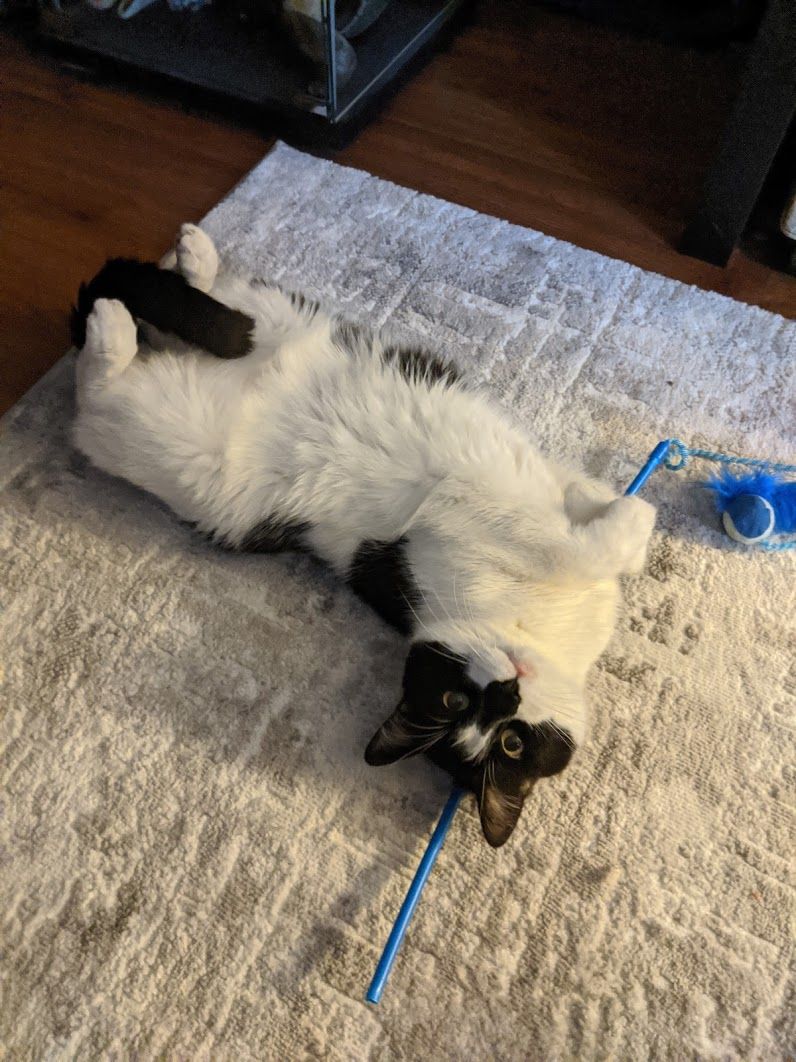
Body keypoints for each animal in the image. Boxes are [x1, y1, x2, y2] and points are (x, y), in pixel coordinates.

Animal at [71, 224, 658, 845]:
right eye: (455, 699)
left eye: (512, 740)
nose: (507, 690)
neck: (540, 632)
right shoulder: (471, 511)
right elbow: (580, 542)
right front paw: (633, 514)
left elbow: (580, 501)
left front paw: (617, 511)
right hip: (188, 433)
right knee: (101, 385)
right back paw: (122, 315)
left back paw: (184, 265)